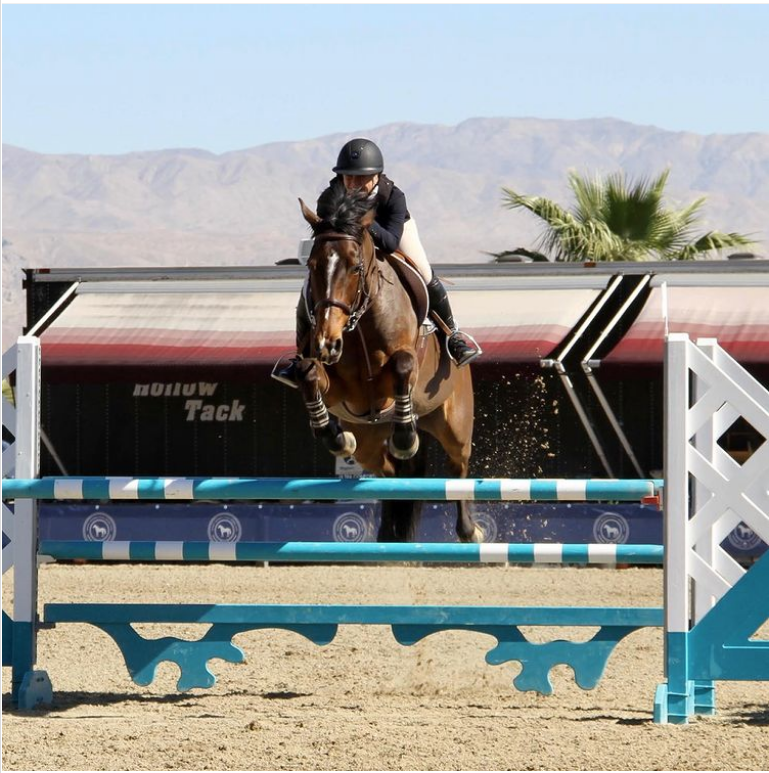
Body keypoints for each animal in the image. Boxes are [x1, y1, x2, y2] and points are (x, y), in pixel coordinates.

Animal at [295, 186, 482, 543]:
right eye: (312, 265)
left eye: (355, 267)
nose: (327, 342)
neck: (358, 325)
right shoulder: (342, 392)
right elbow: (309, 374)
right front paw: (333, 435)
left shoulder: (398, 373)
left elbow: (402, 367)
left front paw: (405, 438)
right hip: (368, 438)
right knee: (389, 471)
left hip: (454, 422)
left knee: (458, 466)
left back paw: (470, 530)